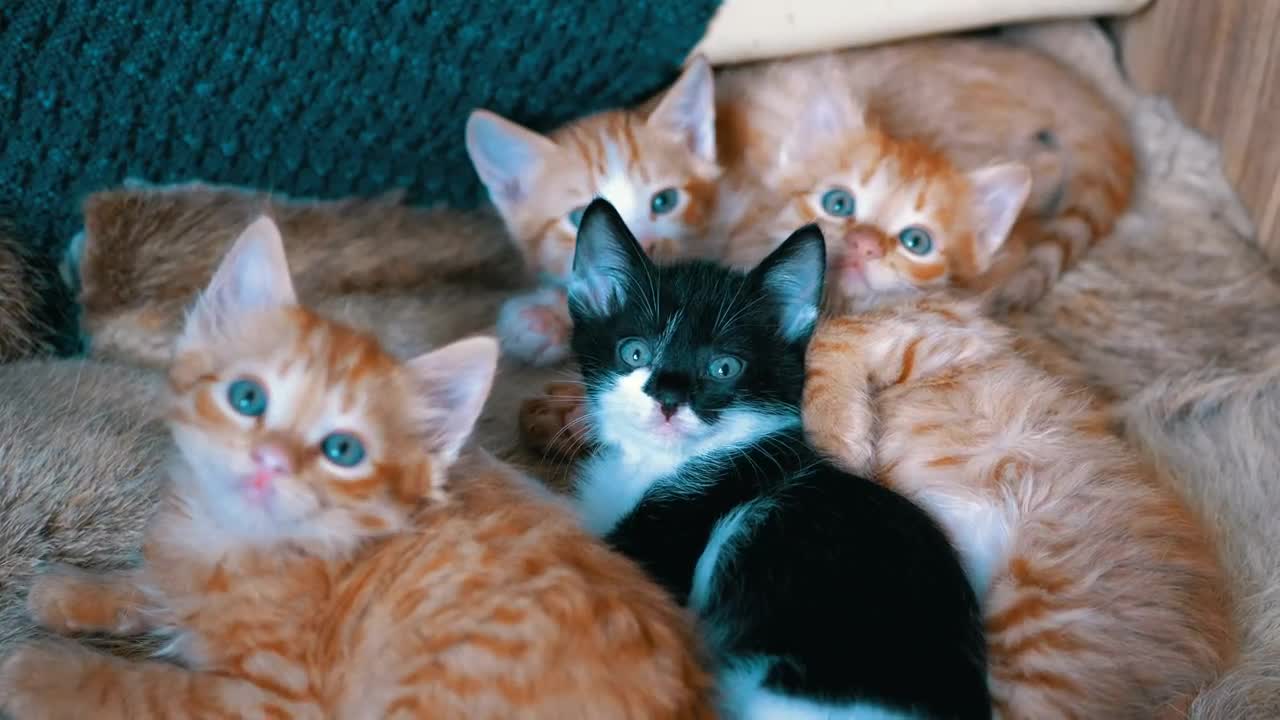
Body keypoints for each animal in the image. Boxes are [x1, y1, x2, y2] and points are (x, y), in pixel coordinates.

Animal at [0, 215, 716, 717]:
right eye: (248, 398)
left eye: (344, 450)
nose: (270, 460)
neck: (235, 539)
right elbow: (157, 583)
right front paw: (73, 590)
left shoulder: (273, 701)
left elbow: (142, 690)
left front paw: (35, 671)